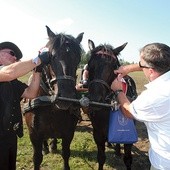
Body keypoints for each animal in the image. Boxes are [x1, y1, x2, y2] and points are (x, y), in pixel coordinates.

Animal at [22, 25, 84, 170]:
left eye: (78, 59)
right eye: (51, 57)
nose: (66, 98)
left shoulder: (68, 133)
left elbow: (66, 154)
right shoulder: (34, 135)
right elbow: (37, 158)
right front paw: (43, 149)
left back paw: (53, 145)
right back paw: (45, 147)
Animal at [87, 39, 137, 169]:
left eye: (113, 66)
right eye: (89, 65)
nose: (95, 99)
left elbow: (128, 159)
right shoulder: (98, 133)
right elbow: (101, 158)